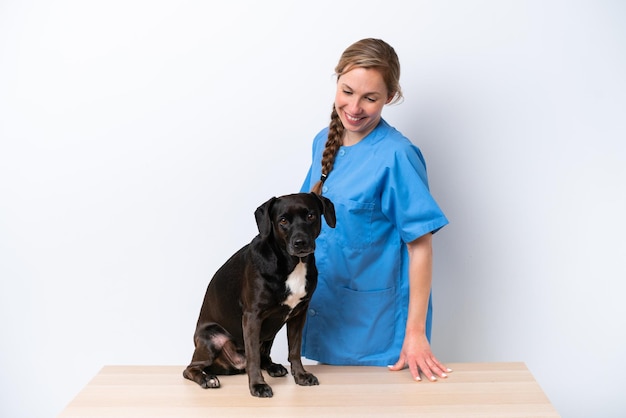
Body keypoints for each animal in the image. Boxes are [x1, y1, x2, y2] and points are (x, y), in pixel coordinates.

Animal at [183, 191, 334, 396]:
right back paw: (207, 378)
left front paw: (301, 375)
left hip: (270, 332)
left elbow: (294, 350)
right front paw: (257, 385)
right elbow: (253, 356)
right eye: (283, 220)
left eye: (311, 216)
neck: (292, 264)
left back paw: (272, 366)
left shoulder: (298, 315)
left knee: (264, 355)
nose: (300, 242)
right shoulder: (252, 317)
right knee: (190, 368)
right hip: (212, 338)